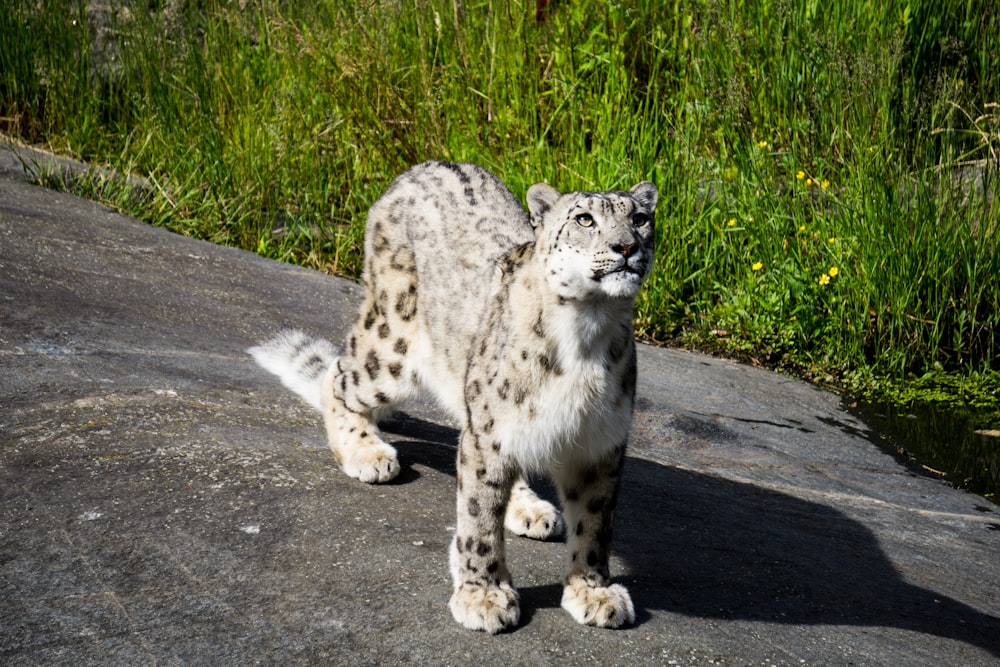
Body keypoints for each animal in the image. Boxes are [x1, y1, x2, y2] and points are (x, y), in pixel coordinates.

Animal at [250, 159, 656, 636]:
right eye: (585, 219)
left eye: (640, 219)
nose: (626, 246)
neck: (588, 333)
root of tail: (425, 166)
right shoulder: (491, 434)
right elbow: (478, 517)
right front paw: (483, 595)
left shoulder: (600, 441)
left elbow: (594, 523)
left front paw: (593, 591)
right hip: (392, 347)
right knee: (339, 375)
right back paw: (365, 453)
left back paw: (529, 508)